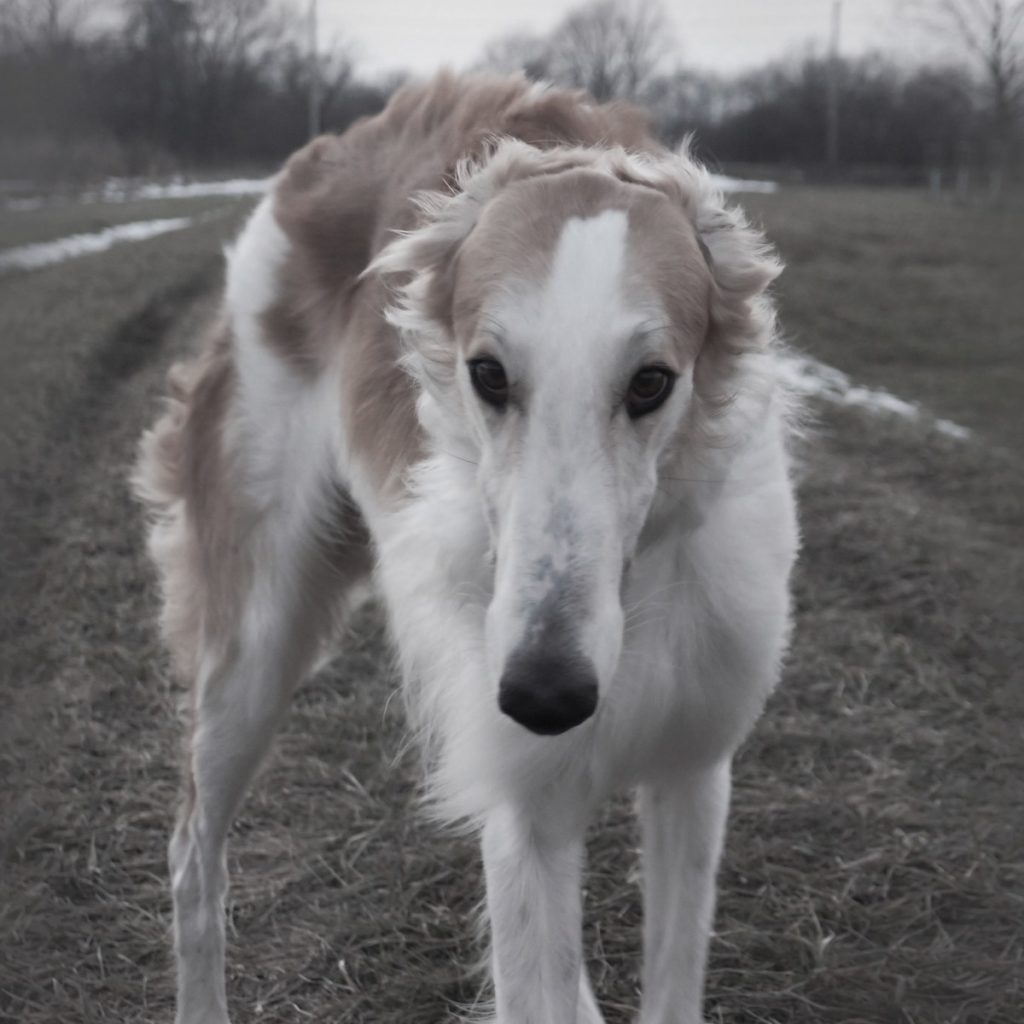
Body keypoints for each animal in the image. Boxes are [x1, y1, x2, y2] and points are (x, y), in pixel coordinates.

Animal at [132, 72, 794, 1024]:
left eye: (651, 382)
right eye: (487, 374)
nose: (547, 695)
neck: (634, 595)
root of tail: (322, 155)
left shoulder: (692, 765)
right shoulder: (526, 813)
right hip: (251, 649)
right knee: (191, 854)